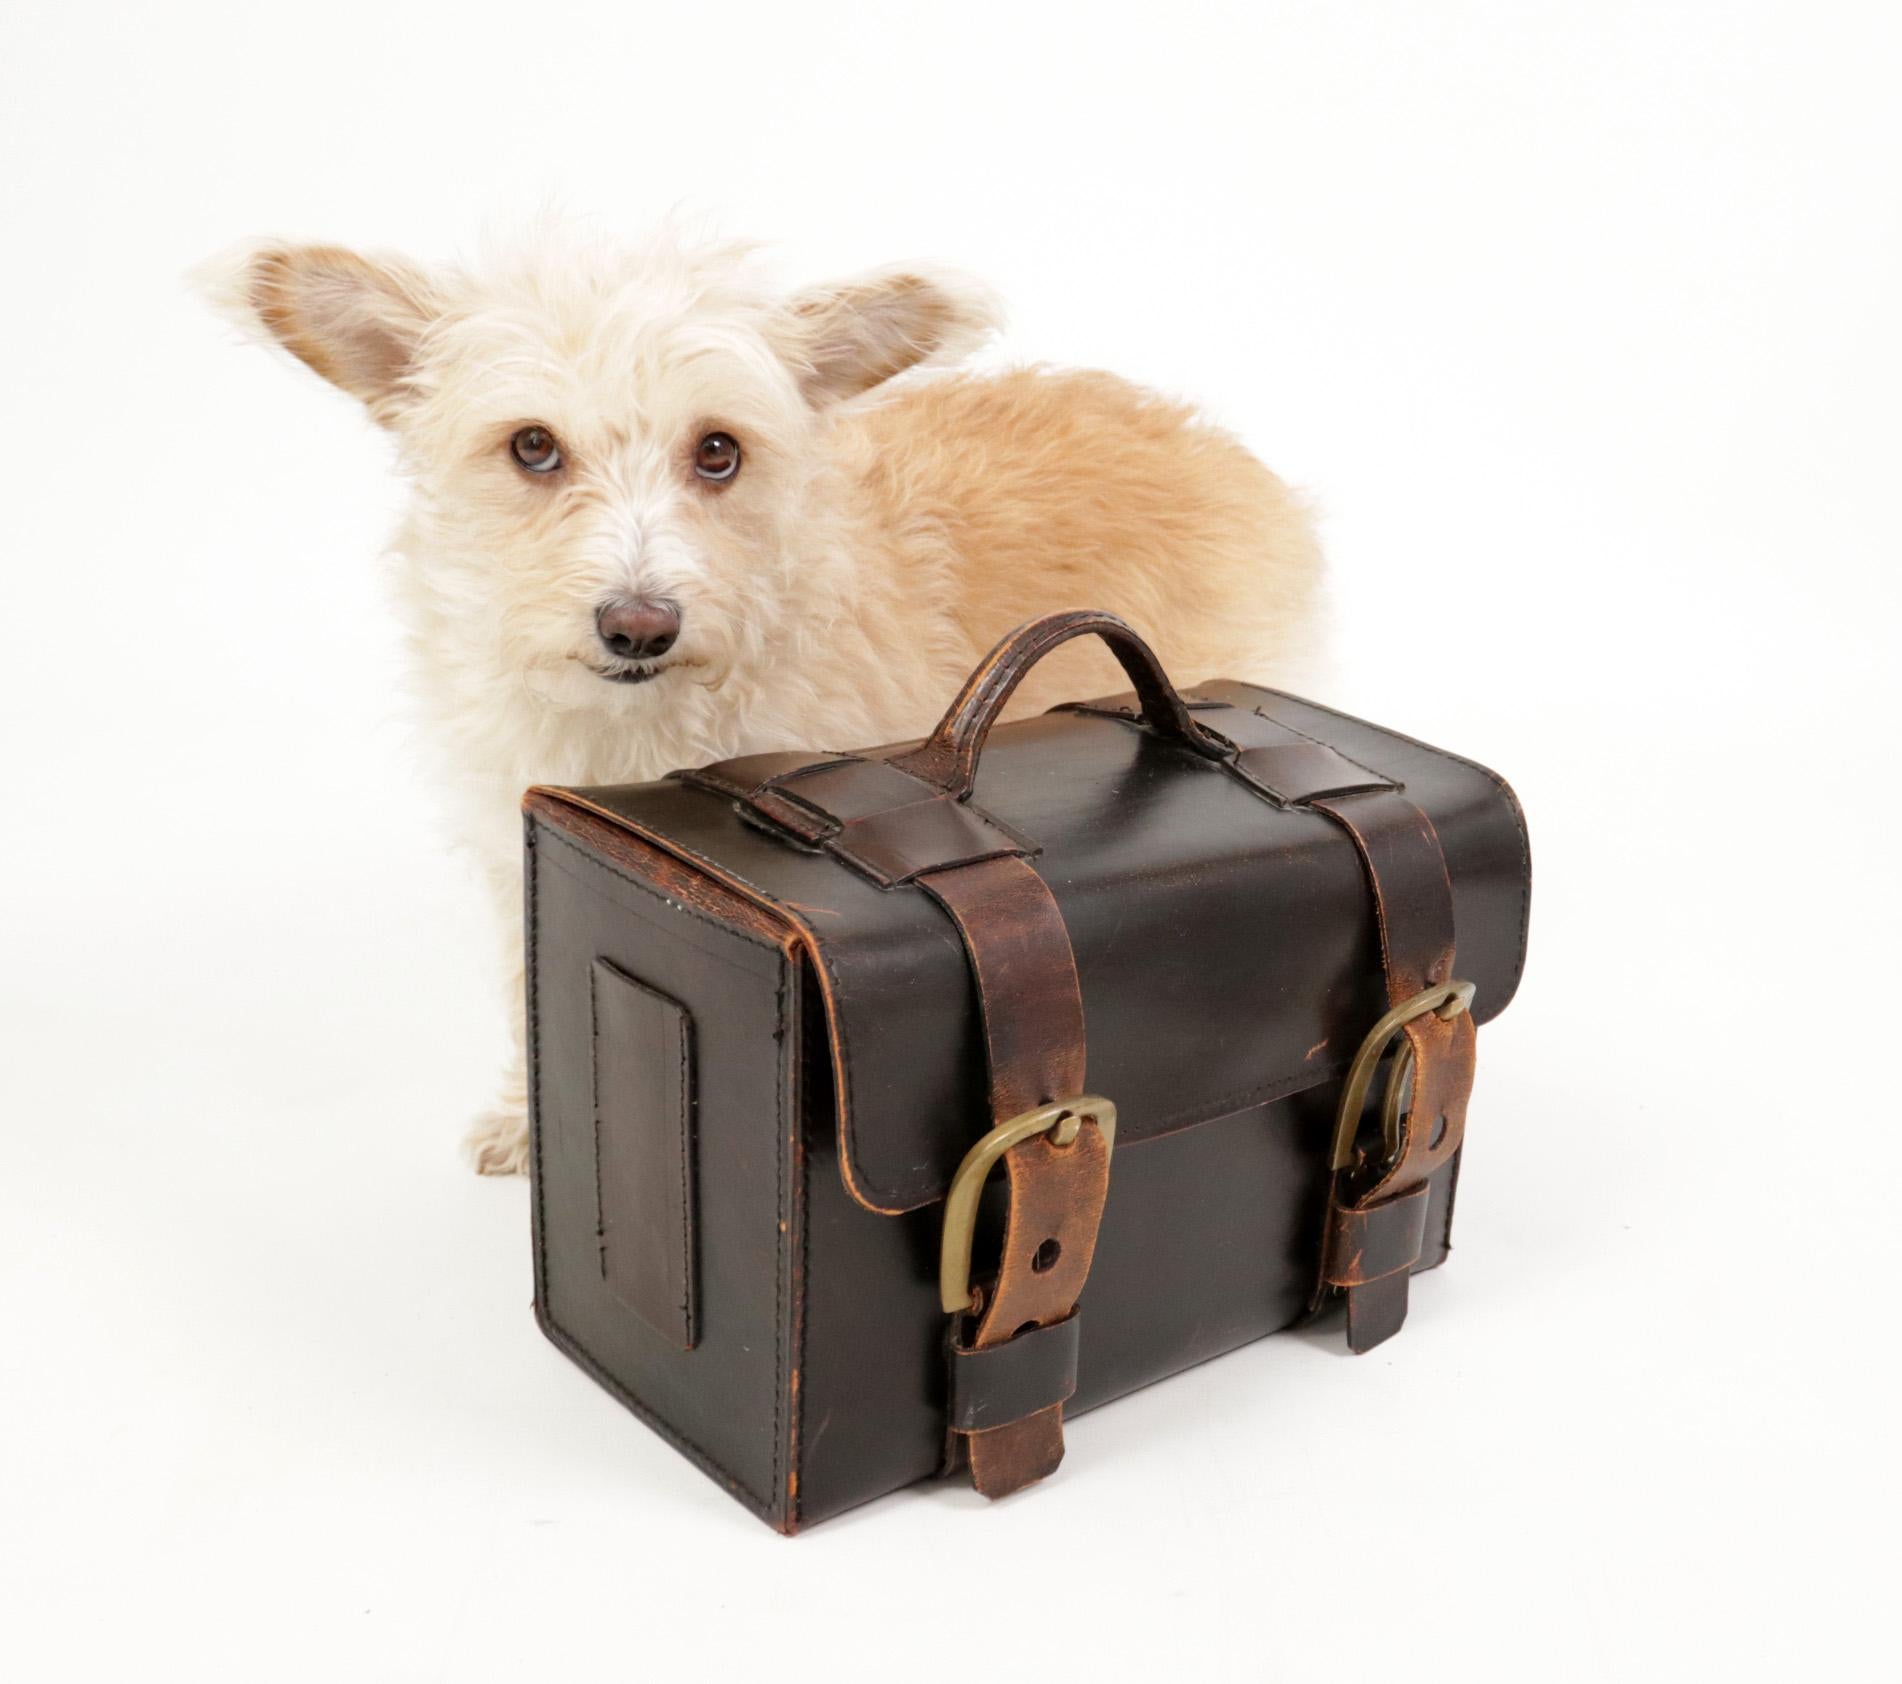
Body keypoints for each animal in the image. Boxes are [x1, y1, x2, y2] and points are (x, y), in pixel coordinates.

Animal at [196, 219, 1323, 1172]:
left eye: (718, 451)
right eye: (532, 446)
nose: (638, 625)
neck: (639, 722)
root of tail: (1207, 437)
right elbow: (530, 984)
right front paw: (532, 1122)